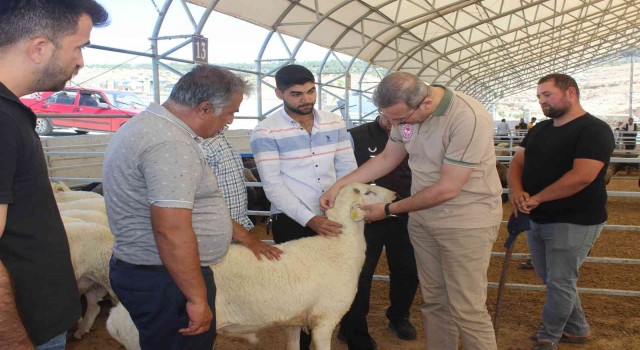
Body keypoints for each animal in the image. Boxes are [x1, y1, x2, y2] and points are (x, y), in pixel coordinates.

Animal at [105, 183, 396, 350]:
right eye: (369, 192)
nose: (395, 195)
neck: (339, 247)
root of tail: (117, 317)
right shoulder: (325, 318)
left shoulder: (293, 320)